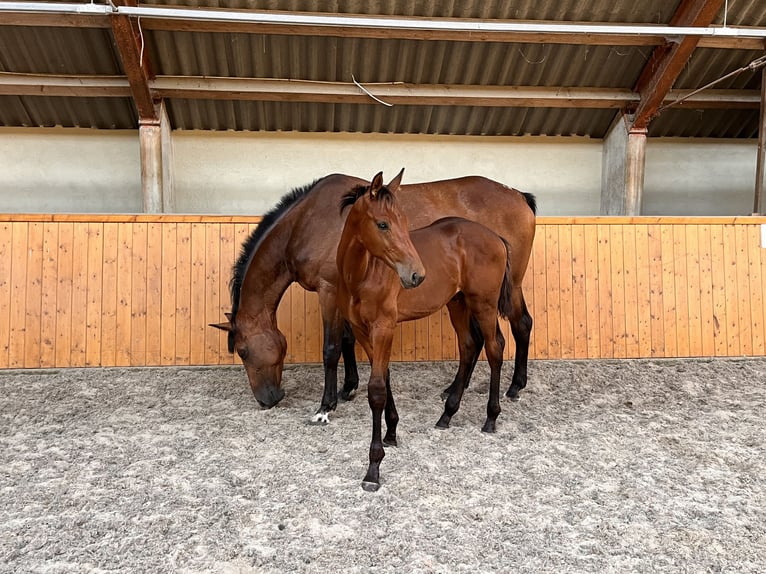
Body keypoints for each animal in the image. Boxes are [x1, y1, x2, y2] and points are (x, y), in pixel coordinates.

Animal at [207, 171, 536, 424]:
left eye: (242, 351)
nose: (268, 399)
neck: (307, 222)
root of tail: (518, 195)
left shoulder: (329, 291)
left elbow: (331, 349)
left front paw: (326, 405)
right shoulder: (346, 297)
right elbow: (348, 340)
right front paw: (348, 388)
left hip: (508, 287)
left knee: (520, 325)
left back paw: (514, 387)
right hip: (467, 297)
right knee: (480, 339)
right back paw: (459, 389)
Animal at [340, 173, 516, 492]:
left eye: (405, 221)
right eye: (382, 224)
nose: (416, 275)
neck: (362, 275)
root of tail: (496, 237)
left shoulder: (383, 329)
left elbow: (376, 390)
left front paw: (373, 468)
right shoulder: (363, 332)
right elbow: (383, 378)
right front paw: (392, 432)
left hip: (483, 304)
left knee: (494, 347)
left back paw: (490, 418)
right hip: (458, 303)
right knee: (469, 345)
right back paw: (447, 413)